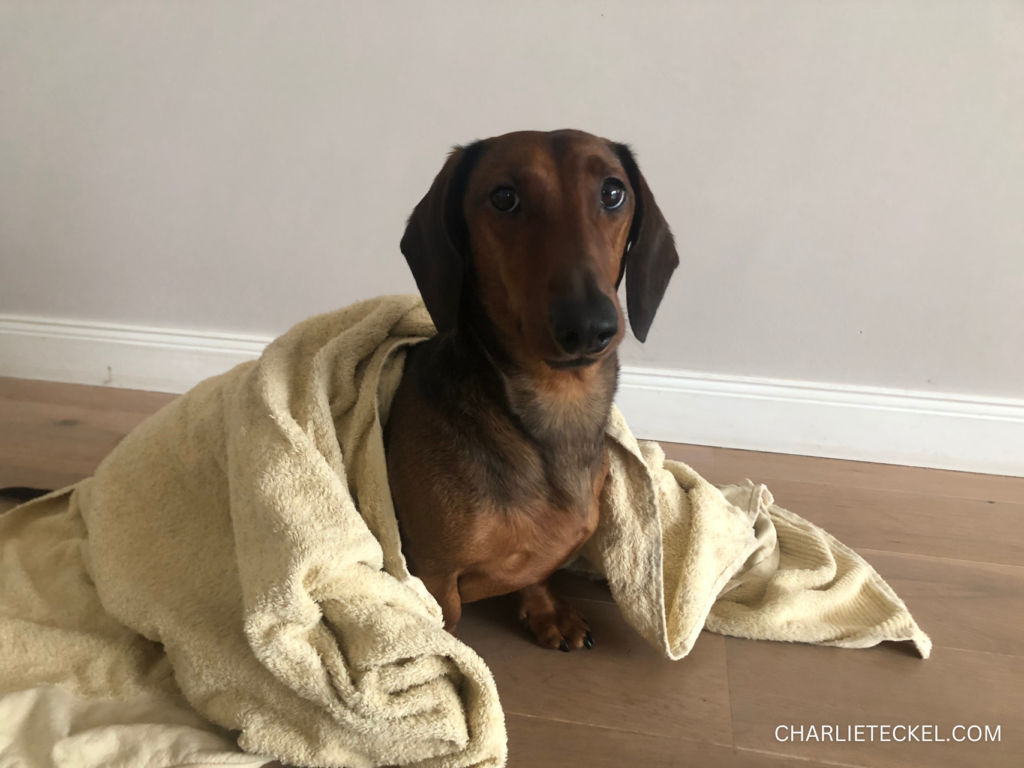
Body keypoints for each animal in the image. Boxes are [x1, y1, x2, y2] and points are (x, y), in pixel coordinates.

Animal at [380, 129, 675, 651]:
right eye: (504, 198)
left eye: (613, 192)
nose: (588, 325)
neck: (556, 409)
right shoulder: (431, 573)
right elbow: (443, 628)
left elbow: (536, 574)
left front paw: (546, 611)